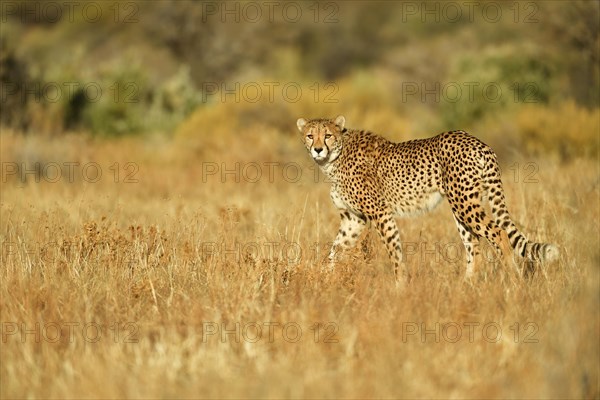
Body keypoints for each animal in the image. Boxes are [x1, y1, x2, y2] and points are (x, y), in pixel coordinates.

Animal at [298, 114, 560, 280]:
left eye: (328, 135)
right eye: (310, 135)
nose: (318, 149)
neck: (334, 159)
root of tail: (478, 142)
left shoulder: (380, 214)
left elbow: (394, 251)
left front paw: (400, 286)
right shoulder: (354, 219)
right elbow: (335, 250)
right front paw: (323, 279)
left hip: (464, 203)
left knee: (498, 233)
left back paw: (512, 278)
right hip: (461, 207)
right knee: (474, 245)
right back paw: (466, 287)